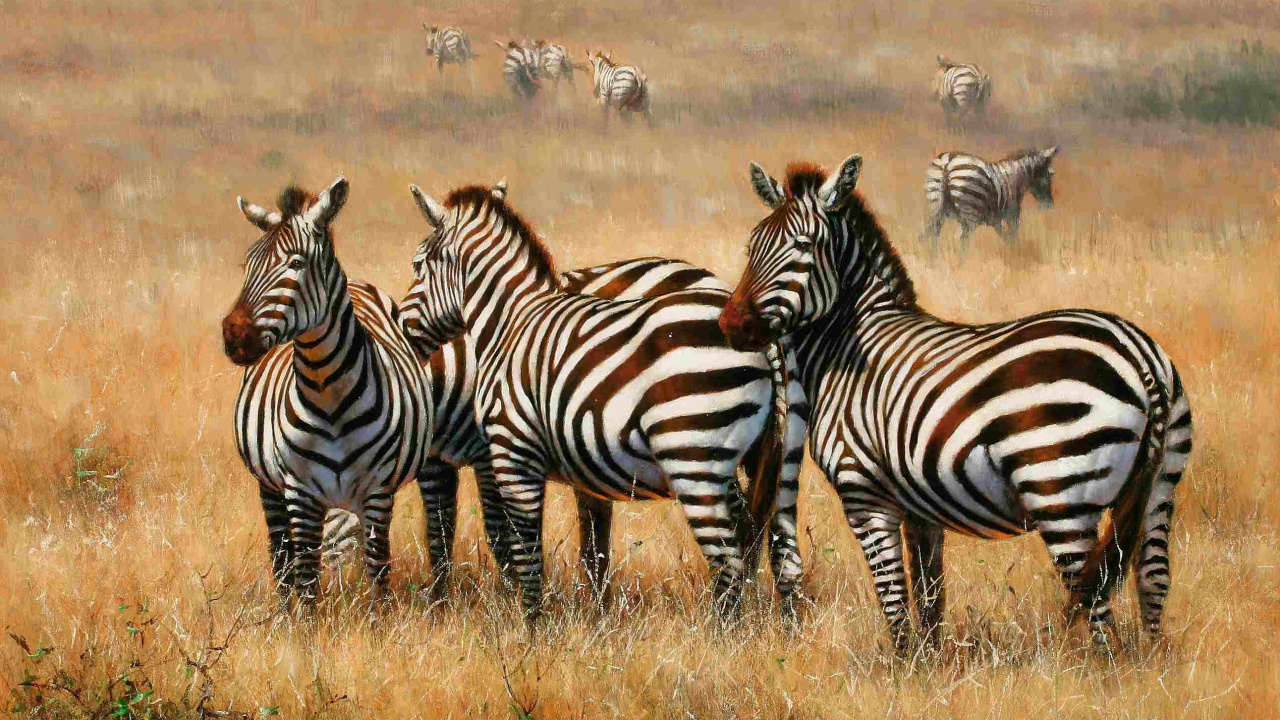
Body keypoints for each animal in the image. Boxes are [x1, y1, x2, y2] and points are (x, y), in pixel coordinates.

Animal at [220, 178, 433, 613]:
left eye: (295, 264)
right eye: (247, 266)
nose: (234, 336)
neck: (327, 393)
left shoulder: (377, 490)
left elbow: (378, 569)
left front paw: (378, 622)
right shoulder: (299, 490)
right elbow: (304, 574)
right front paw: (304, 626)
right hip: (271, 488)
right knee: (281, 555)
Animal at [320, 257, 732, 597]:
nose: (334, 600)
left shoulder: (488, 452)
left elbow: (498, 533)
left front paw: (508, 598)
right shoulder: (436, 459)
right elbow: (439, 533)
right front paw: (440, 604)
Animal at [399, 179, 809, 620]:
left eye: (417, 266)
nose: (402, 328)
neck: (511, 323)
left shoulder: (508, 452)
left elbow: (517, 551)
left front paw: (527, 626)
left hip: (691, 454)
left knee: (729, 559)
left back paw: (721, 635)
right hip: (771, 453)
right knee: (775, 547)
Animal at [923, 147, 1059, 247]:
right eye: (1050, 175)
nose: (1050, 204)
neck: (1014, 179)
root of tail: (947, 162)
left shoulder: (995, 220)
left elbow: (1005, 238)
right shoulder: (1012, 215)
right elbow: (1013, 237)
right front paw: (1015, 256)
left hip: (935, 205)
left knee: (932, 235)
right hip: (969, 211)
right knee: (961, 239)